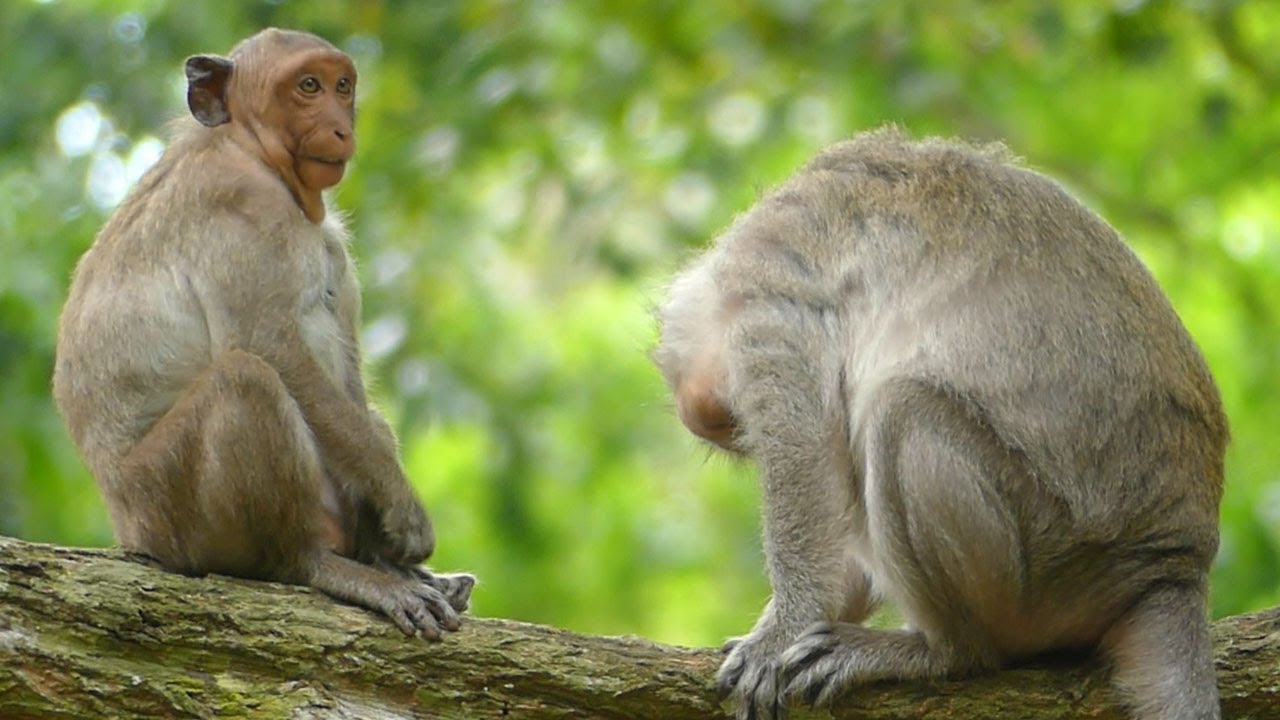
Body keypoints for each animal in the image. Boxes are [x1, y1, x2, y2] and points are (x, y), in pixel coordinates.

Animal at [52, 28, 474, 639]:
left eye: (342, 87)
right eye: (307, 86)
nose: (342, 127)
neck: (246, 146)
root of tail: (127, 528)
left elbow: (347, 382)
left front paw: (388, 539)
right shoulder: (239, 203)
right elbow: (269, 347)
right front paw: (404, 519)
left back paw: (375, 559)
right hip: (167, 508)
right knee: (244, 379)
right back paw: (315, 564)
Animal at [654, 128, 1226, 720]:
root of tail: (1176, 566)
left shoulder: (768, 310)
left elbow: (806, 453)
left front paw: (780, 633)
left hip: (1054, 568)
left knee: (900, 413)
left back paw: (945, 652)